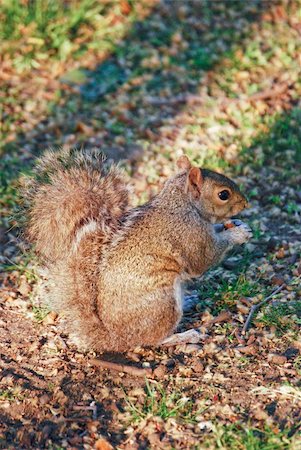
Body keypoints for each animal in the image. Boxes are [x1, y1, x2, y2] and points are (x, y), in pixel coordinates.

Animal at [21, 148, 251, 352]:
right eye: (223, 194)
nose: (246, 204)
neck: (183, 204)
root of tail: (115, 337)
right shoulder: (191, 236)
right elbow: (204, 259)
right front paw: (238, 234)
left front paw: (235, 224)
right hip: (162, 305)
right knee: (152, 340)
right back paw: (185, 335)